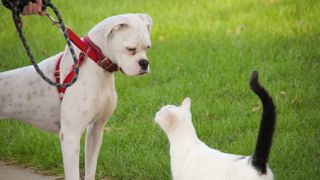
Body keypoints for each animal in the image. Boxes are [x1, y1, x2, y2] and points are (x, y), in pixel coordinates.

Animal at [0, 13, 152, 179]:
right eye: (130, 49)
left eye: (148, 48)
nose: (144, 63)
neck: (96, 65)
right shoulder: (70, 135)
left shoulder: (96, 130)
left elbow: (90, 170)